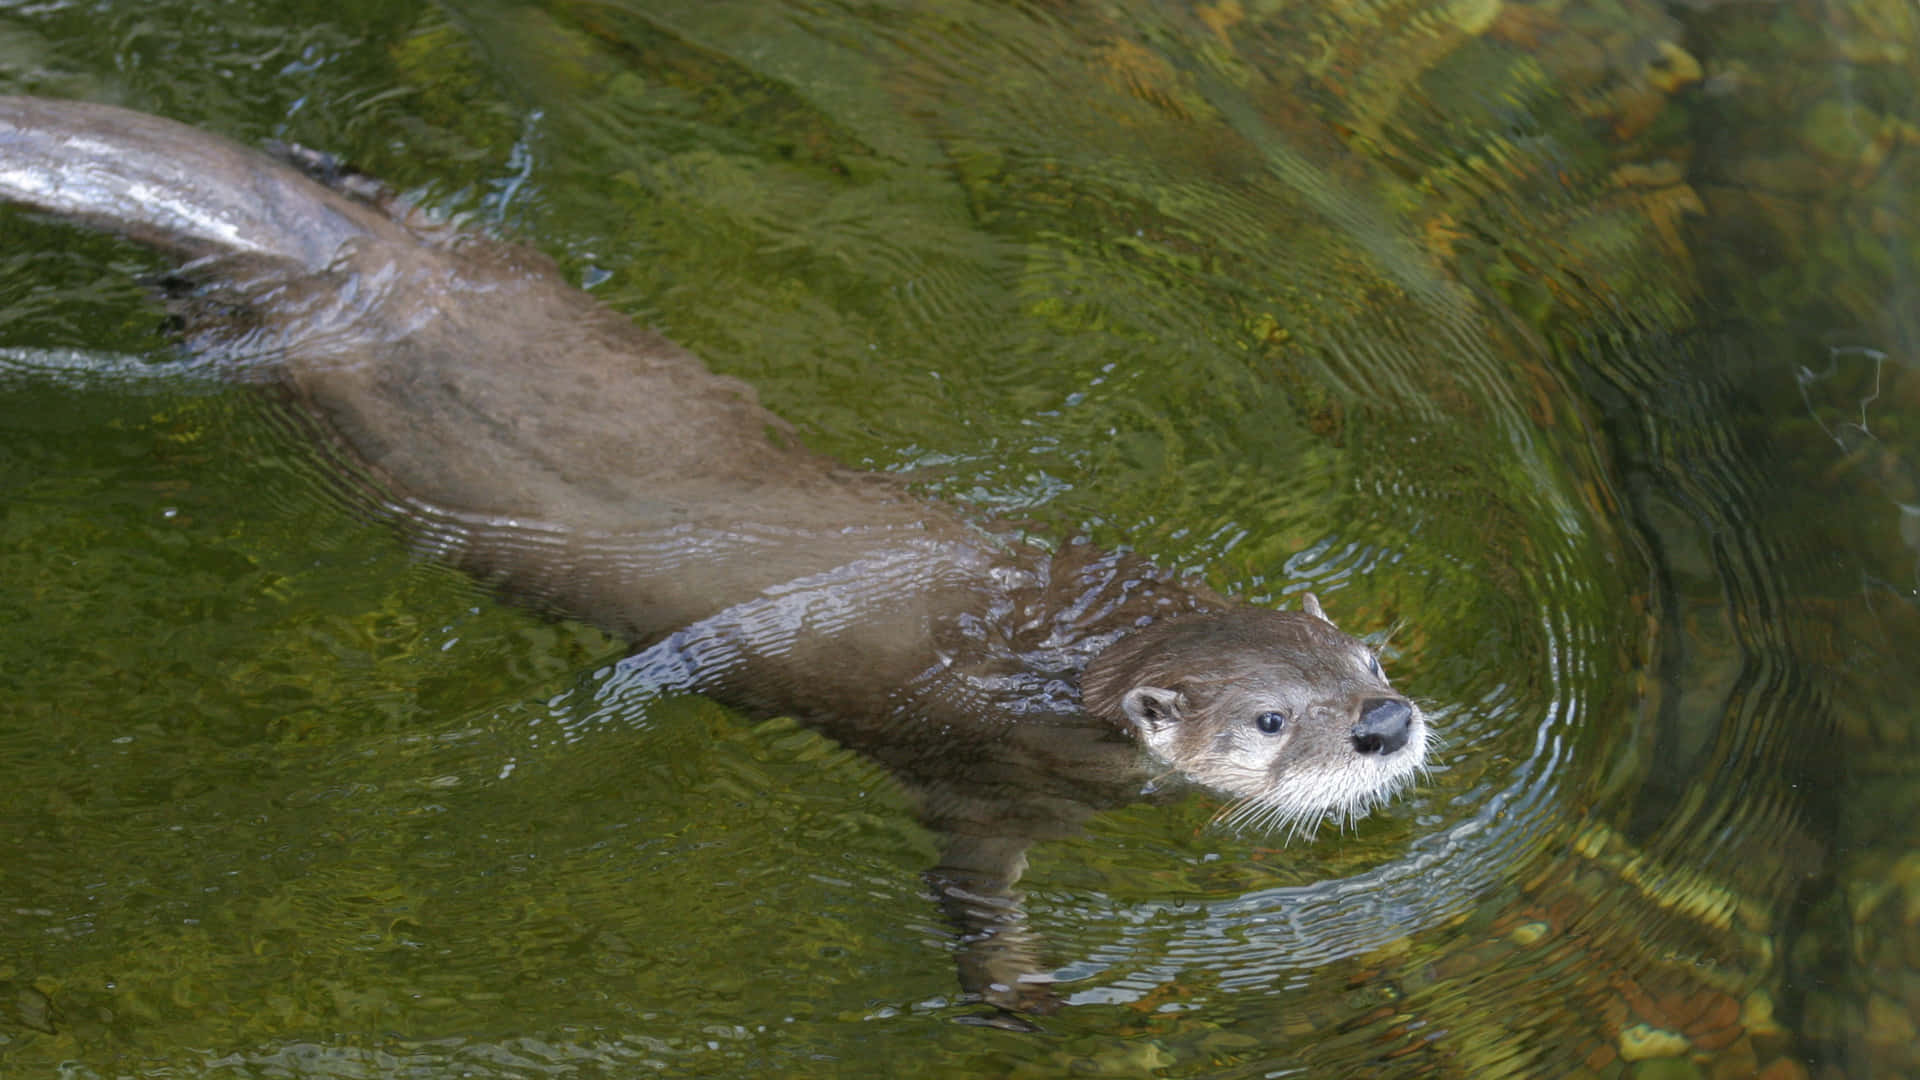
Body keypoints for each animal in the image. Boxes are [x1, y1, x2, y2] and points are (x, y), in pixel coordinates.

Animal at [0, 96, 1428, 1022]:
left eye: (1367, 655)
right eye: (1270, 718)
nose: (1387, 725)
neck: (1059, 656)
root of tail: (349, 259)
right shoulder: (982, 785)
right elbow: (970, 901)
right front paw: (1027, 995)